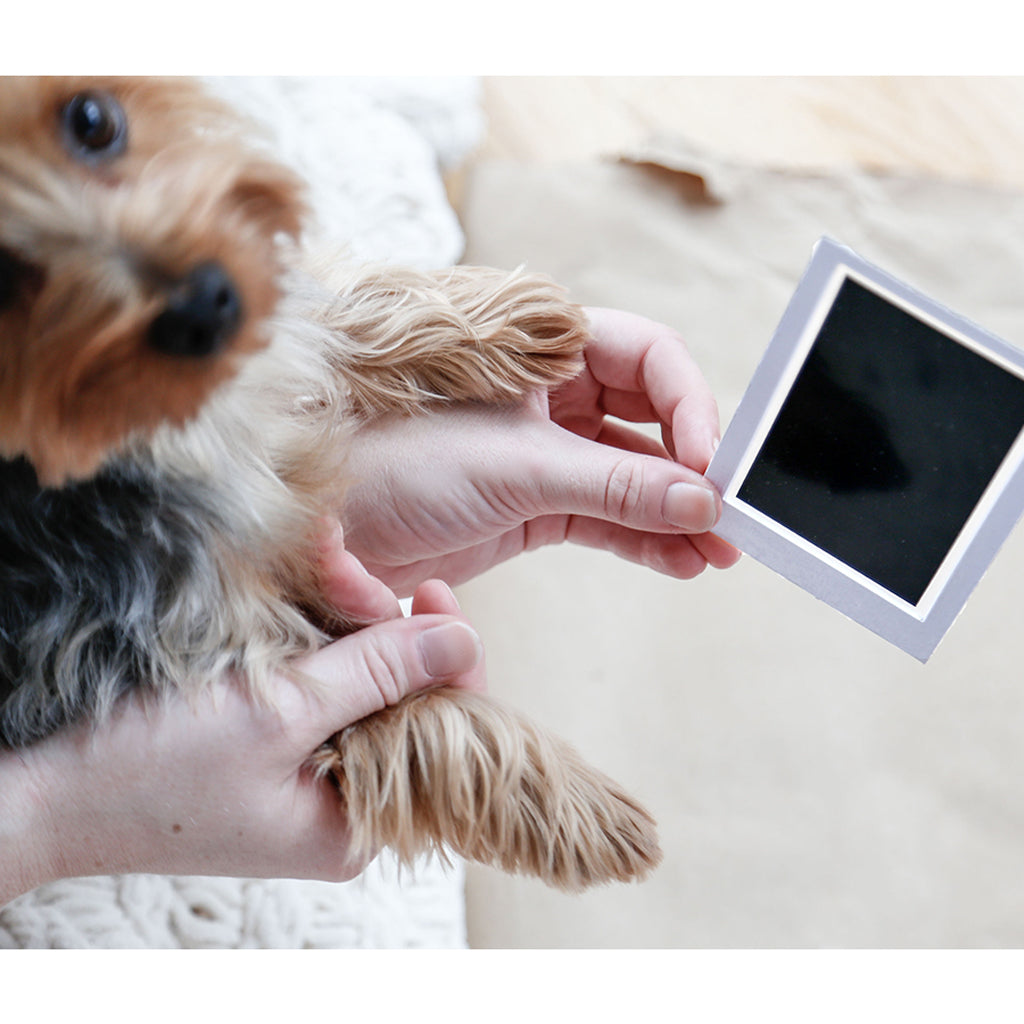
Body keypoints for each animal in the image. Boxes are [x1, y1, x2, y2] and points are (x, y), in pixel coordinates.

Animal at [0, 77, 663, 888]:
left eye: (92, 120)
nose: (206, 303)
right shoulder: (193, 645)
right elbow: (431, 716)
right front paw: (581, 809)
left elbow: (331, 316)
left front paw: (505, 324)